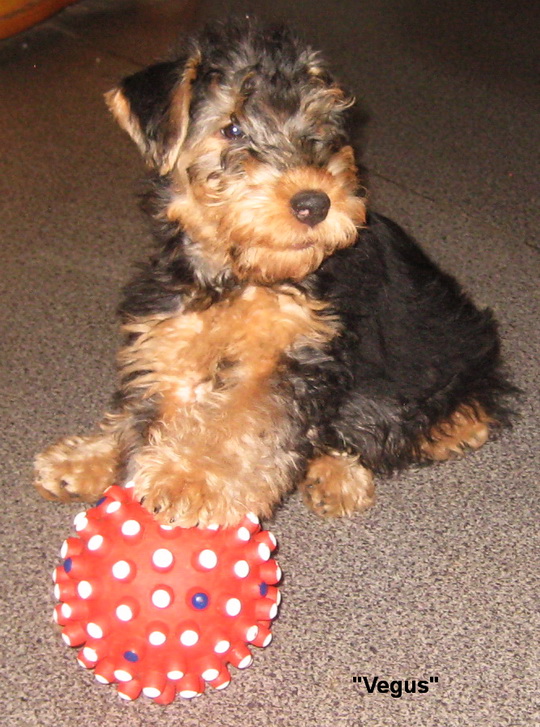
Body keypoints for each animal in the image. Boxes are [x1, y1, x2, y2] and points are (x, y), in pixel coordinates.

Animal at [34, 20, 514, 527]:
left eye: (317, 126)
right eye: (231, 128)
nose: (315, 203)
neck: (239, 275)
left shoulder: (291, 355)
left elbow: (239, 418)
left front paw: (188, 482)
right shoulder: (171, 330)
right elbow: (144, 403)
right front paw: (87, 459)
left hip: (441, 354)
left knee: (427, 412)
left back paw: (400, 448)